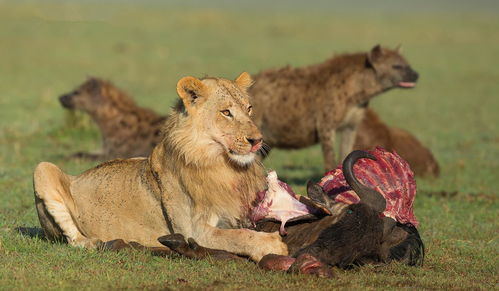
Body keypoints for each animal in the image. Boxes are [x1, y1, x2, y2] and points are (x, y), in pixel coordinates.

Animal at [32, 72, 290, 262]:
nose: (257, 140)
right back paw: (95, 242)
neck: (222, 166)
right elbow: (236, 236)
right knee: (74, 240)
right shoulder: (193, 230)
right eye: (226, 112)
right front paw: (272, 245)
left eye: (249, 109)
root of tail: (77, 176)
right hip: (43, 168)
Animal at [252, 44, 420, 170]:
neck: (356, 93)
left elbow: (347, 152)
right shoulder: (325, 125)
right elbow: (329, 157)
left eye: (408, 64)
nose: (416, 74)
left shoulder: (351, 125)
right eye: (397, 66)